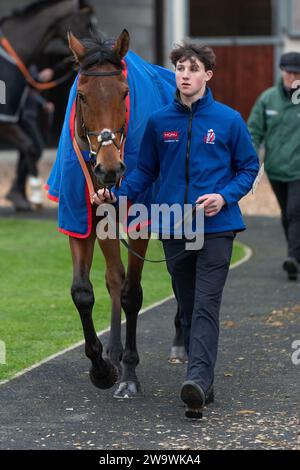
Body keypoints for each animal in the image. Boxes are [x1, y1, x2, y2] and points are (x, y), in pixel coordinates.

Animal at [61, 28, 185, 396]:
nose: (110, 169)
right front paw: (102, 367)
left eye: (125, 93)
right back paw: (114, 350)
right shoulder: (83, 215)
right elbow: (84, 291)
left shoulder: (139, 222)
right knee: (114, 276)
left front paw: (129, 373)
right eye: (82, 95)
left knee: (180, 272)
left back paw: (180, 342)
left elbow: (133, 293)